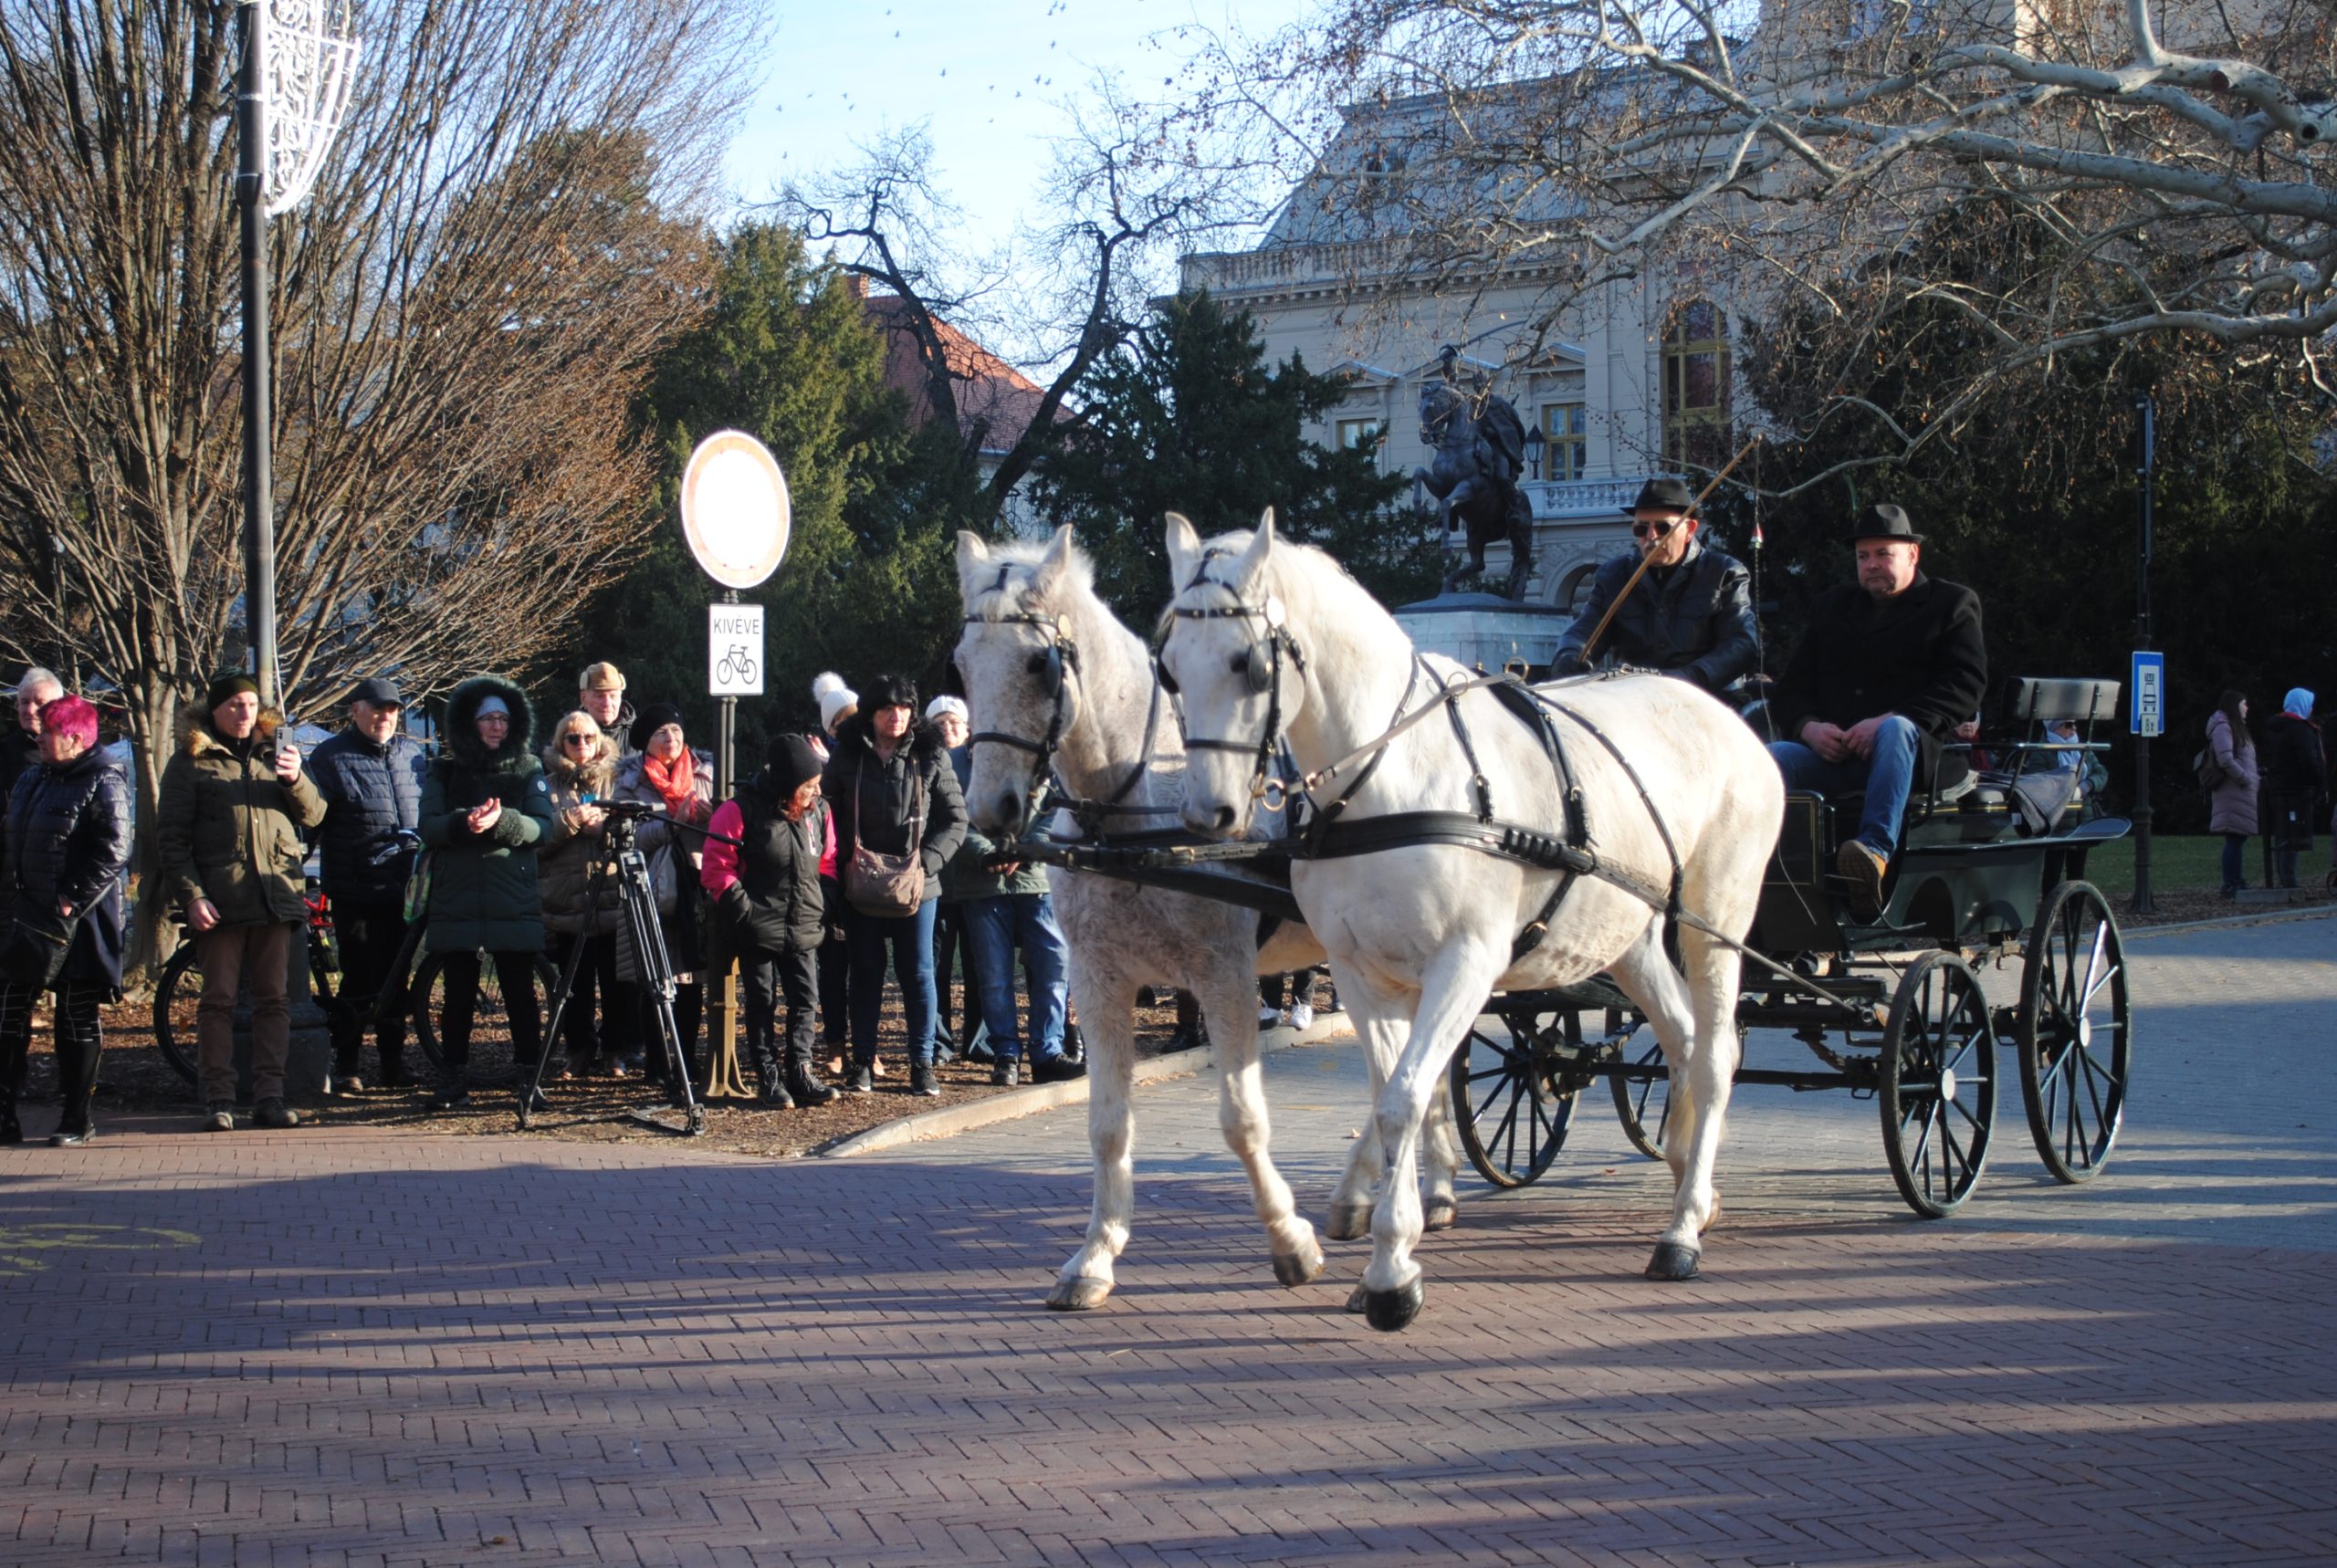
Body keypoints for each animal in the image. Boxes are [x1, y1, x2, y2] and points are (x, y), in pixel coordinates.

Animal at [953, 528, 1458, 1308]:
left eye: (1038, 662)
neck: (1138, 809)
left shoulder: (1224, 977)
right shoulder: (1098, 979)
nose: (990, 810)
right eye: (962, 663)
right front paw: (1095, 1255)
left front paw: (1289, 1242)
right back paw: (1391, 1193)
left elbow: (1242, 1121)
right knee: (1412, 1073)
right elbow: (1106, 1126)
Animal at [1158, 511, 1776, 1327]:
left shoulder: (1466, 963)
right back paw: (1688, 1186)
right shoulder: (1361, 972)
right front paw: (1392, 1241)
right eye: (1169, 666)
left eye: (1248, 664)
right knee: (1680, 1038)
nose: (1209, 814)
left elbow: (1405, 1099)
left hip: (1714, 922)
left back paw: (1681, 1231)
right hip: (1633, 937)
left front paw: (1393, 1269)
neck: (1392, 778)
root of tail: (1724, 717)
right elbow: (1392, 1097)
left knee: (1715, 1054)